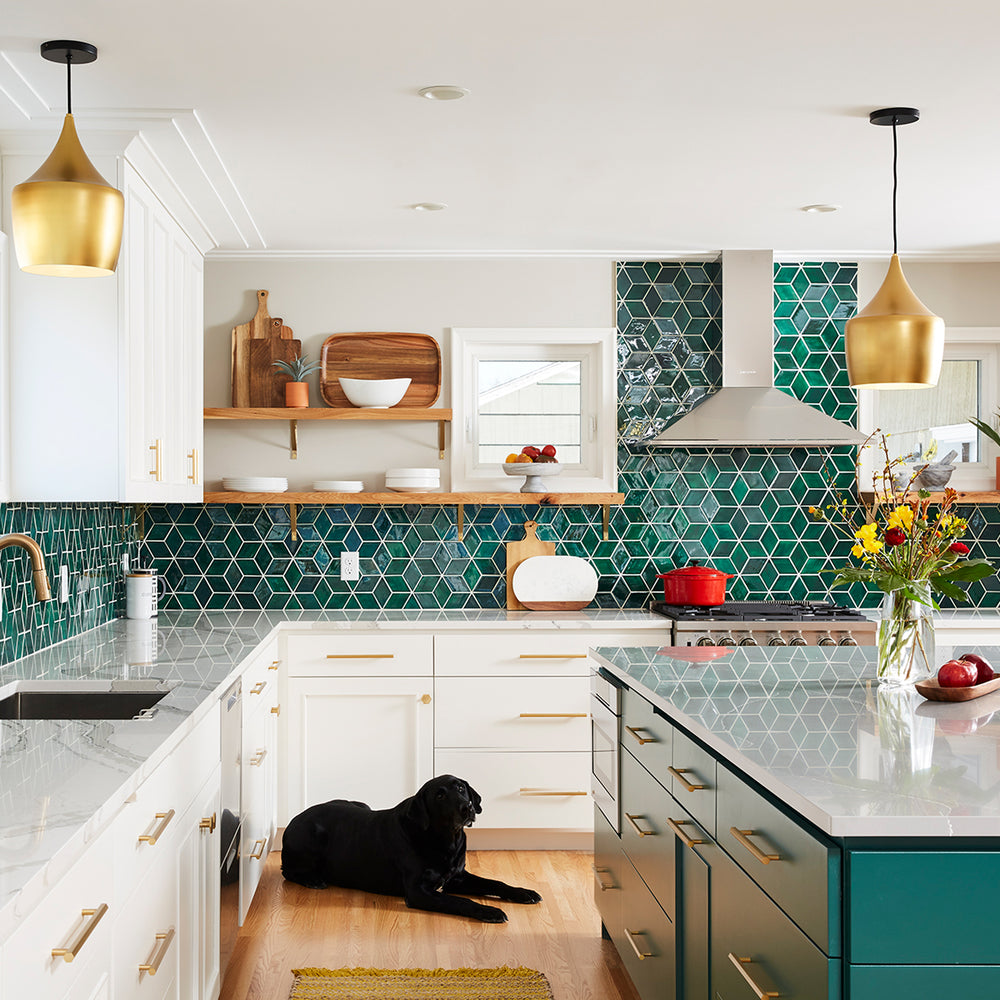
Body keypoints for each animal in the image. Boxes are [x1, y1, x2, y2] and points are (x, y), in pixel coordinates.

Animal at [282, 772, 544, 920]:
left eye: (461, 788)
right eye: (439, 796)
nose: (467, 807)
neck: (446, 840)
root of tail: (294, 819)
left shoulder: (458, 877)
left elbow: (496, 883)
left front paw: (523, 892)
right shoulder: (419, 892)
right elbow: (461, 901)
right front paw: (490, 911)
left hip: (360, 803)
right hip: (312, 836)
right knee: (288, 871)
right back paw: (314, 880)